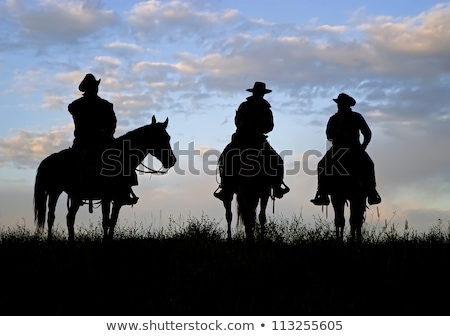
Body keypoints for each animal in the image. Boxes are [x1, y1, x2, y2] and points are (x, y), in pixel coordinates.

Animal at [33, 116, 176, 242]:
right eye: (162, 138)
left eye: (168, 137)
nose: (172, 161)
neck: (121, 158)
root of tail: (48, 160)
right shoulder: (106, 197)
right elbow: (106, 221)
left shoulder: (118, 198)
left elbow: (112, 221)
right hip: (54, 191)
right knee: (51, 217)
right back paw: (50, 241)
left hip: (75, 196)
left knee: (69, 217)